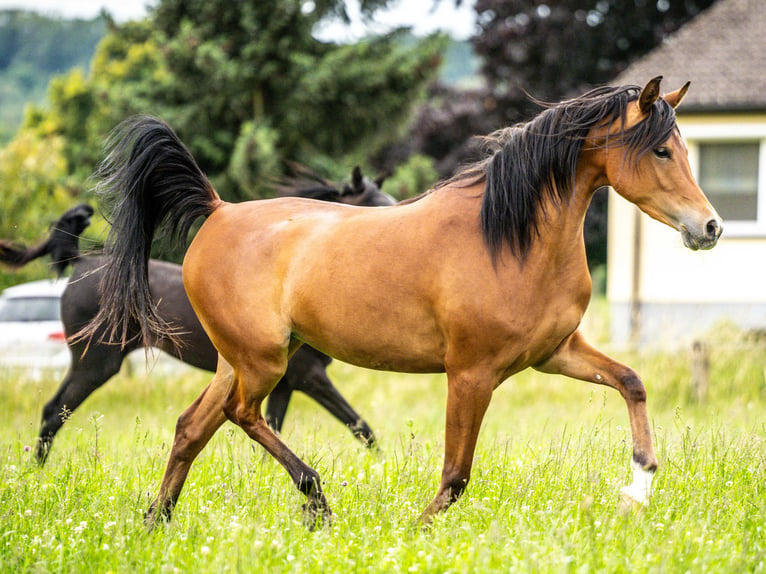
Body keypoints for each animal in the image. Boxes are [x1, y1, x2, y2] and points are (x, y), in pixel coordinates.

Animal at [0, 170, 392, 464]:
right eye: (376, 205)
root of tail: (80, 263)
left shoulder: (286, 383)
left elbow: (275, 430)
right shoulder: (309, 376)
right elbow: (362, 427)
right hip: (95, 363)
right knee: (55, 411)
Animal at [85, 77, 728, 532]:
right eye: (662, 151)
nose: (711, 227)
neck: (510, 238)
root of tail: (217, 212)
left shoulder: (555, 354)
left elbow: (631, 381)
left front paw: (637, 488)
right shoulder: (471, 373)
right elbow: (456, 475)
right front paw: (415, 531)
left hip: (240, 359)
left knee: (193, 426)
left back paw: (156, 521)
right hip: (262, 361)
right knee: (241, 414)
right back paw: (316, 499)